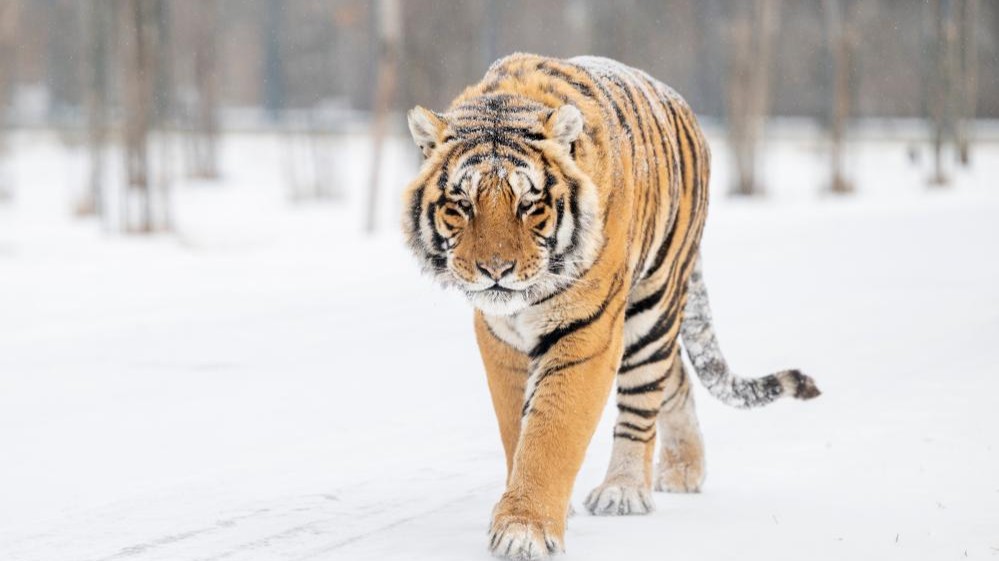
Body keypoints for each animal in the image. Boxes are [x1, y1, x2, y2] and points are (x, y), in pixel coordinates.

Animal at [401, 53, 820, 560]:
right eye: (461, 205)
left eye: (529, 206)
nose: (495, 269)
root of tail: (675, 99)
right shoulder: (501, 338)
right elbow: (516, 429)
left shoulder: (586, 329)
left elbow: (550, 431)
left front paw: (523, 530)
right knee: (677, 377)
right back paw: (683, 470)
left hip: (653, 304)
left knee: (645, 397)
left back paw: (625, 490)